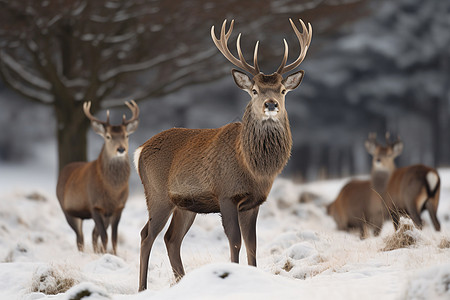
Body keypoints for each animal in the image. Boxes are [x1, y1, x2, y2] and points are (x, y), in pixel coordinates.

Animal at [57, 100, 140, 253]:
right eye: (108, 136)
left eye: (127, 135)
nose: (121, 149)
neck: (113, 191)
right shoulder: (94, 206)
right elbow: (105, 237)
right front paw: (106, 254)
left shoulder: (118, 208)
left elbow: (114, 238)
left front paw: (113, 254)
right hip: (67, 210)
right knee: (80, 237)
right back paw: (83, 253)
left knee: (92, 234)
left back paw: (95, 251)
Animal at [134, 18, 312, 290]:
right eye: (255, 90)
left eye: (282, 90)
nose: (271, 104)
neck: (253, 168)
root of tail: (140, 150)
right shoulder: (227, 194)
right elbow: (235, 241)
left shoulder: (253, 202)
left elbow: (252, 245)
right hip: (156, 194)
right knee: (147, 234)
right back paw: (142, 288)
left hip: (185, 204)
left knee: (171, 239)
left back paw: (183, 282)